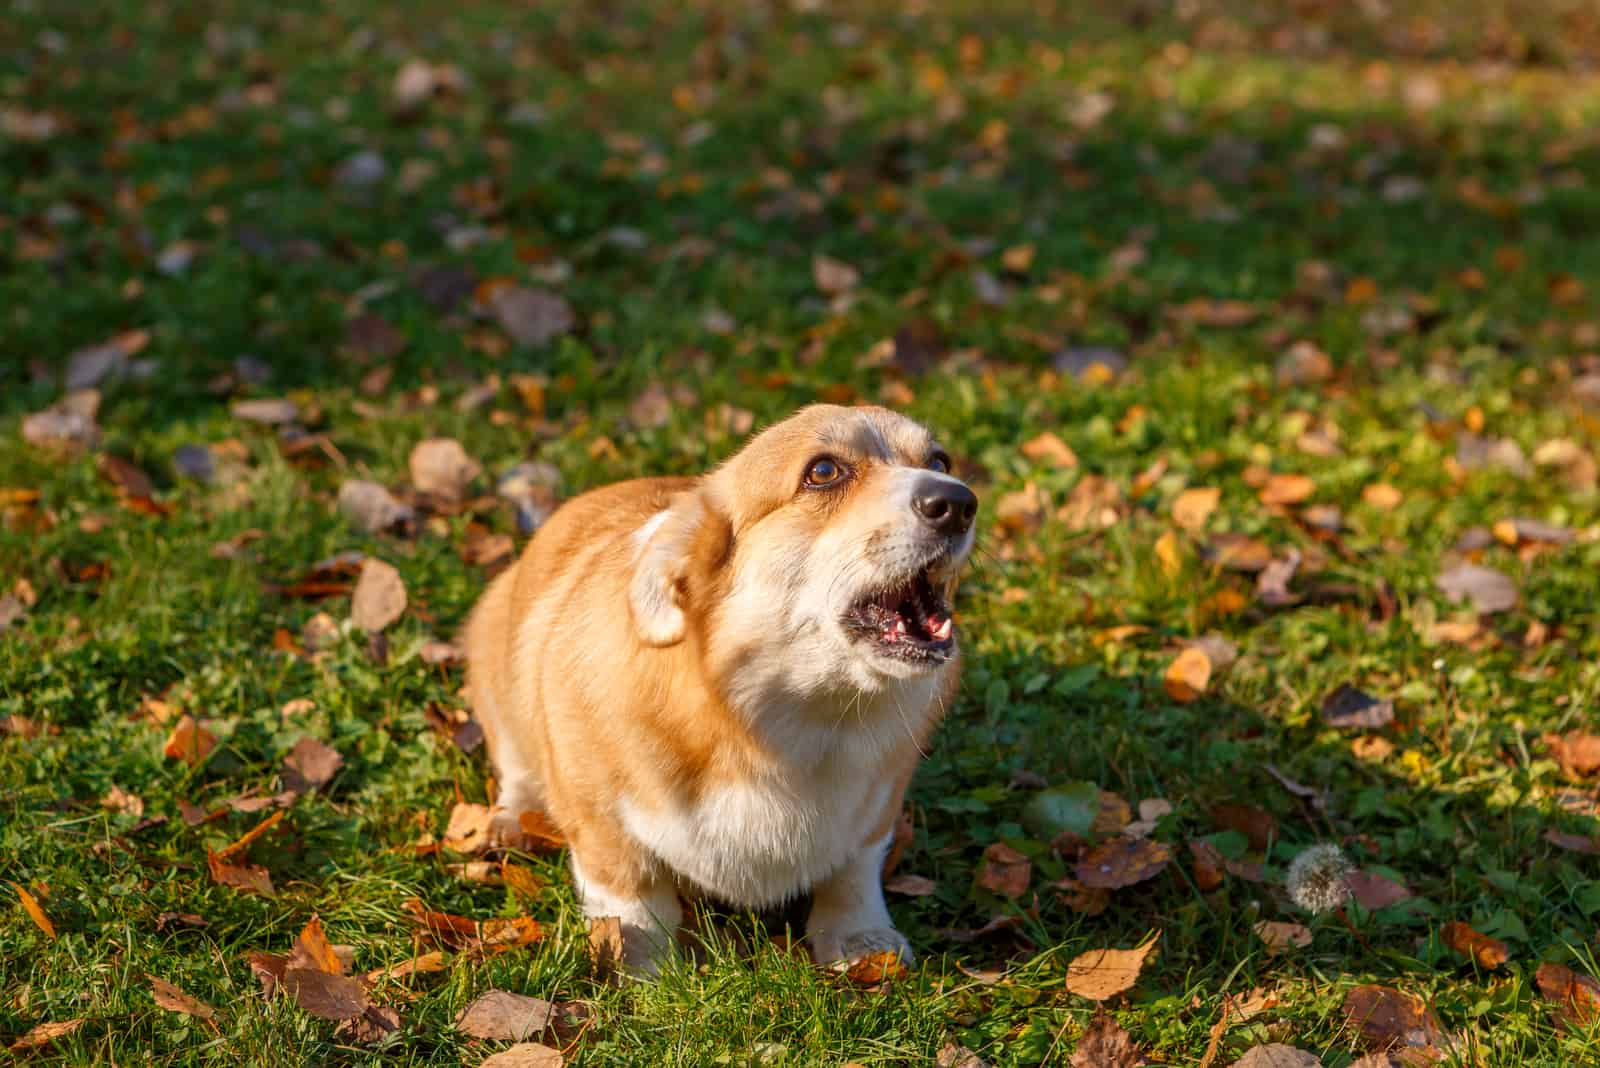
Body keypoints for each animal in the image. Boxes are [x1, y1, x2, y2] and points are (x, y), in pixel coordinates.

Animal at [467, 404, 972, 972]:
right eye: (823, 471)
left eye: (940, 460)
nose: (959, 503)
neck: (797, 725)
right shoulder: (601, 823)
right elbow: (632, 895)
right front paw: (641, 966)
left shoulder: (874, 814)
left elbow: (853, 872)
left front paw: (862, 940)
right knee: (516, 770)